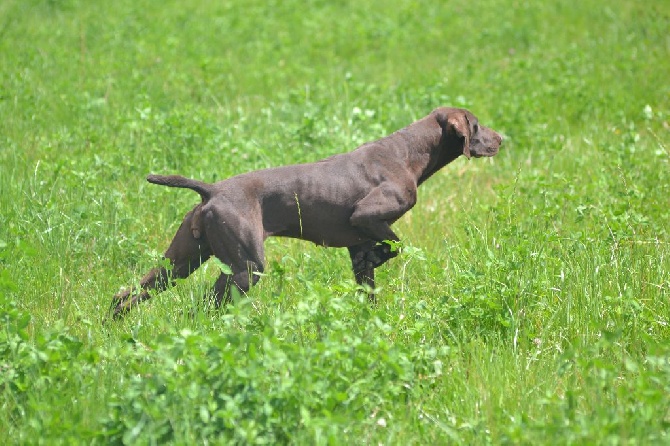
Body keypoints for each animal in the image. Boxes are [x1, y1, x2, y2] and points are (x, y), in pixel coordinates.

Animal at [110, 107, 502, 318]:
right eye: (476, 126)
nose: (502, 139)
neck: (408, 153)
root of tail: (212, 190)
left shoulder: (357, 244)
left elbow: (369, 281)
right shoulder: (365, 217)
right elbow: (395, 246)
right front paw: (380, 257)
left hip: (181, 261)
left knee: (125, 295)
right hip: (245, 267)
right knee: (201, 308)